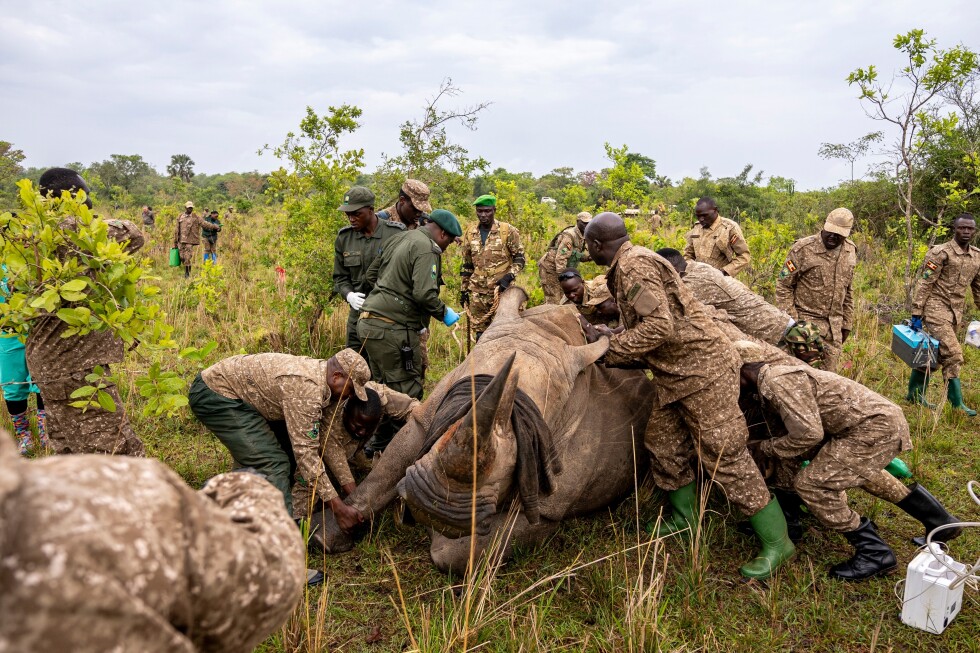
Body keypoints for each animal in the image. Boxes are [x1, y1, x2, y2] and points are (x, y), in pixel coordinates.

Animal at [314, 287, 654, 574]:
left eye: (515, 459)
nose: (435, 509)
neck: (545, 331)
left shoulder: (551, 503)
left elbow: (461, 552)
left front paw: (439, 534)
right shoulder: (428, 415)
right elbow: (384, 471)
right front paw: (327, 534)